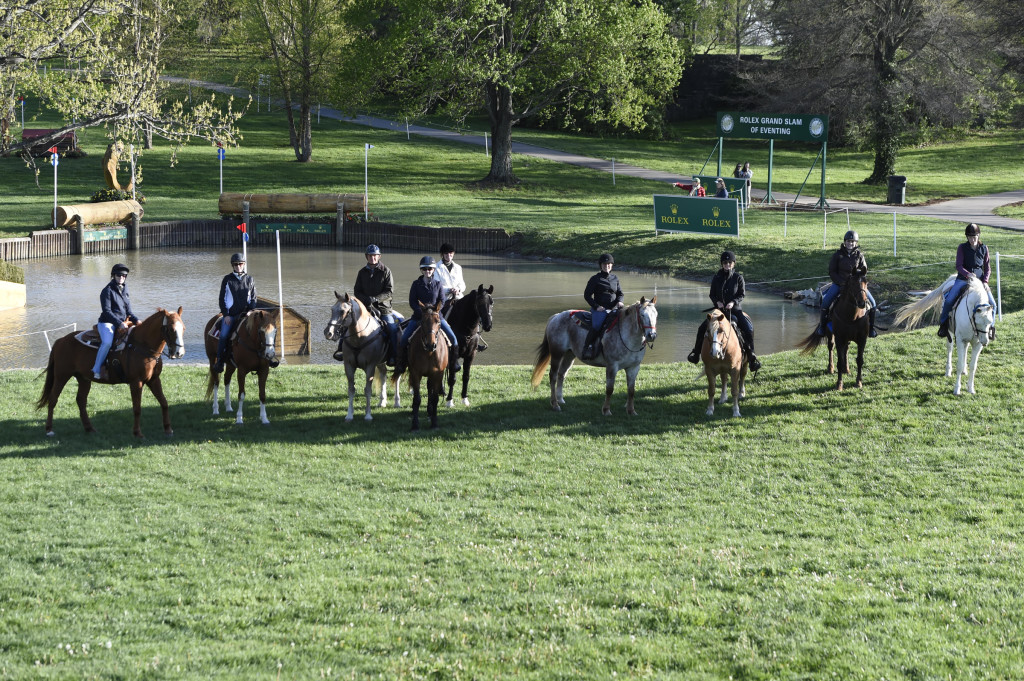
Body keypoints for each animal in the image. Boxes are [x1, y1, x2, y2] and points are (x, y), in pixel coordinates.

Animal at [35, 303, 186, 436]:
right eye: (171, 329)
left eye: (183, 328)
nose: (179, 353)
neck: (141, 345)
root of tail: (60, 341)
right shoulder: (136, 382)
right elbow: (137, 408)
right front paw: (137, 433)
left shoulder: (154, 380)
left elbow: (164, 403)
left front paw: (168, 430)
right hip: (61, 376)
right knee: (53, 399)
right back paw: (49, 430)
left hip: (84, 379)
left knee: (81, 400)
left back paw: (89, 428)